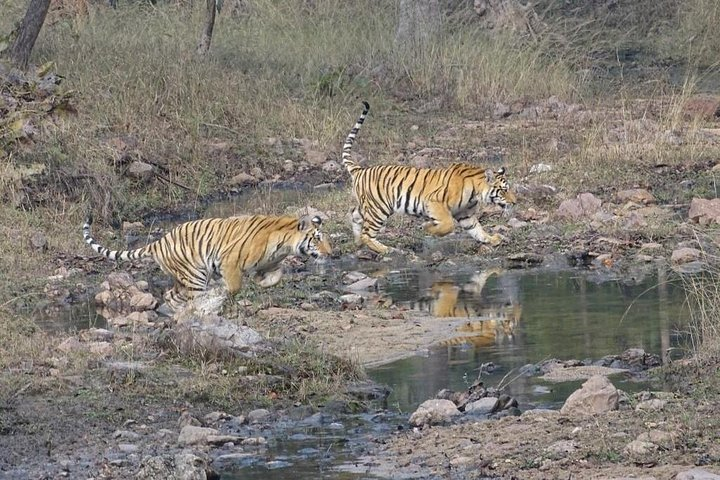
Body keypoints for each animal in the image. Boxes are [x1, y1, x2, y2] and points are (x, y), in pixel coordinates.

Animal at [84, 213, 332, 304]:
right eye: (318, 238)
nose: (331, 253)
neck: (284, 244)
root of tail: (160, 241)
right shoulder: (229, 260)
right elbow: (233, 286)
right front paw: (223, 291)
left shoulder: (271, 263)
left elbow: (276, 276)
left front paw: (263, 282)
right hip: (195, 274)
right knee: (192, 296)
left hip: (182, 278)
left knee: (171, 295)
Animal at [340, 101, 516, 255]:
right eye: (503, 190)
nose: (515, 202)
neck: (476, 192)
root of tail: (360, 169)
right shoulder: (434, 202)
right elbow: (448, 225)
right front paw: (427, 227)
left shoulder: (465, 215)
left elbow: (477, 230)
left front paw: (492, 239)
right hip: (378, 208)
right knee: (367, 234)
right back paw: (386, 250)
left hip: (369, 206)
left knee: (354, 215)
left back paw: (358, 242)